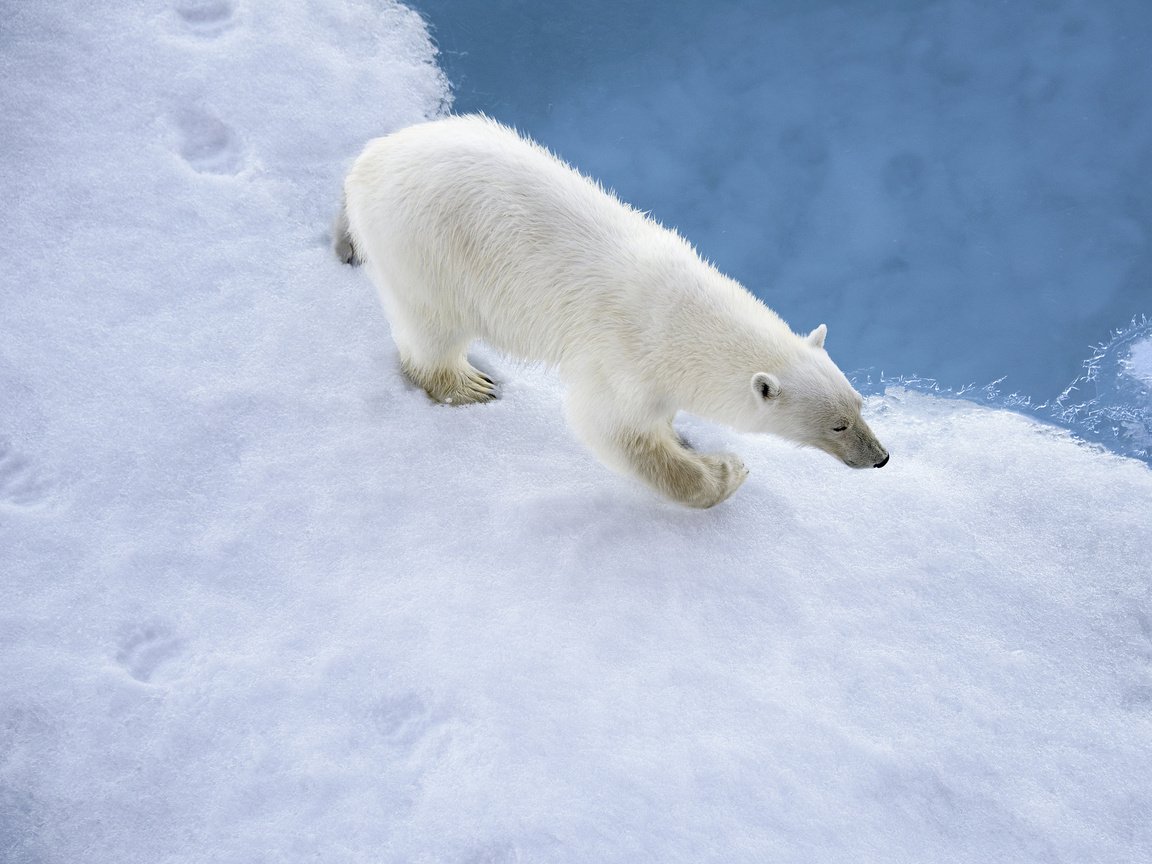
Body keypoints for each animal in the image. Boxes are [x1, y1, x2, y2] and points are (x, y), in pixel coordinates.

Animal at [336, 115, 884, 506]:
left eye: (860, 405)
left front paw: (682, 437)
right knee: (432, 328)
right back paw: (468, 384)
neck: (683, 319)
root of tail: (370, 158)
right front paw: (725, 471)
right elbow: (613, 429)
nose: (880, 457)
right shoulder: (627, 361)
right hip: (425, 251)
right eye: (837, 425)